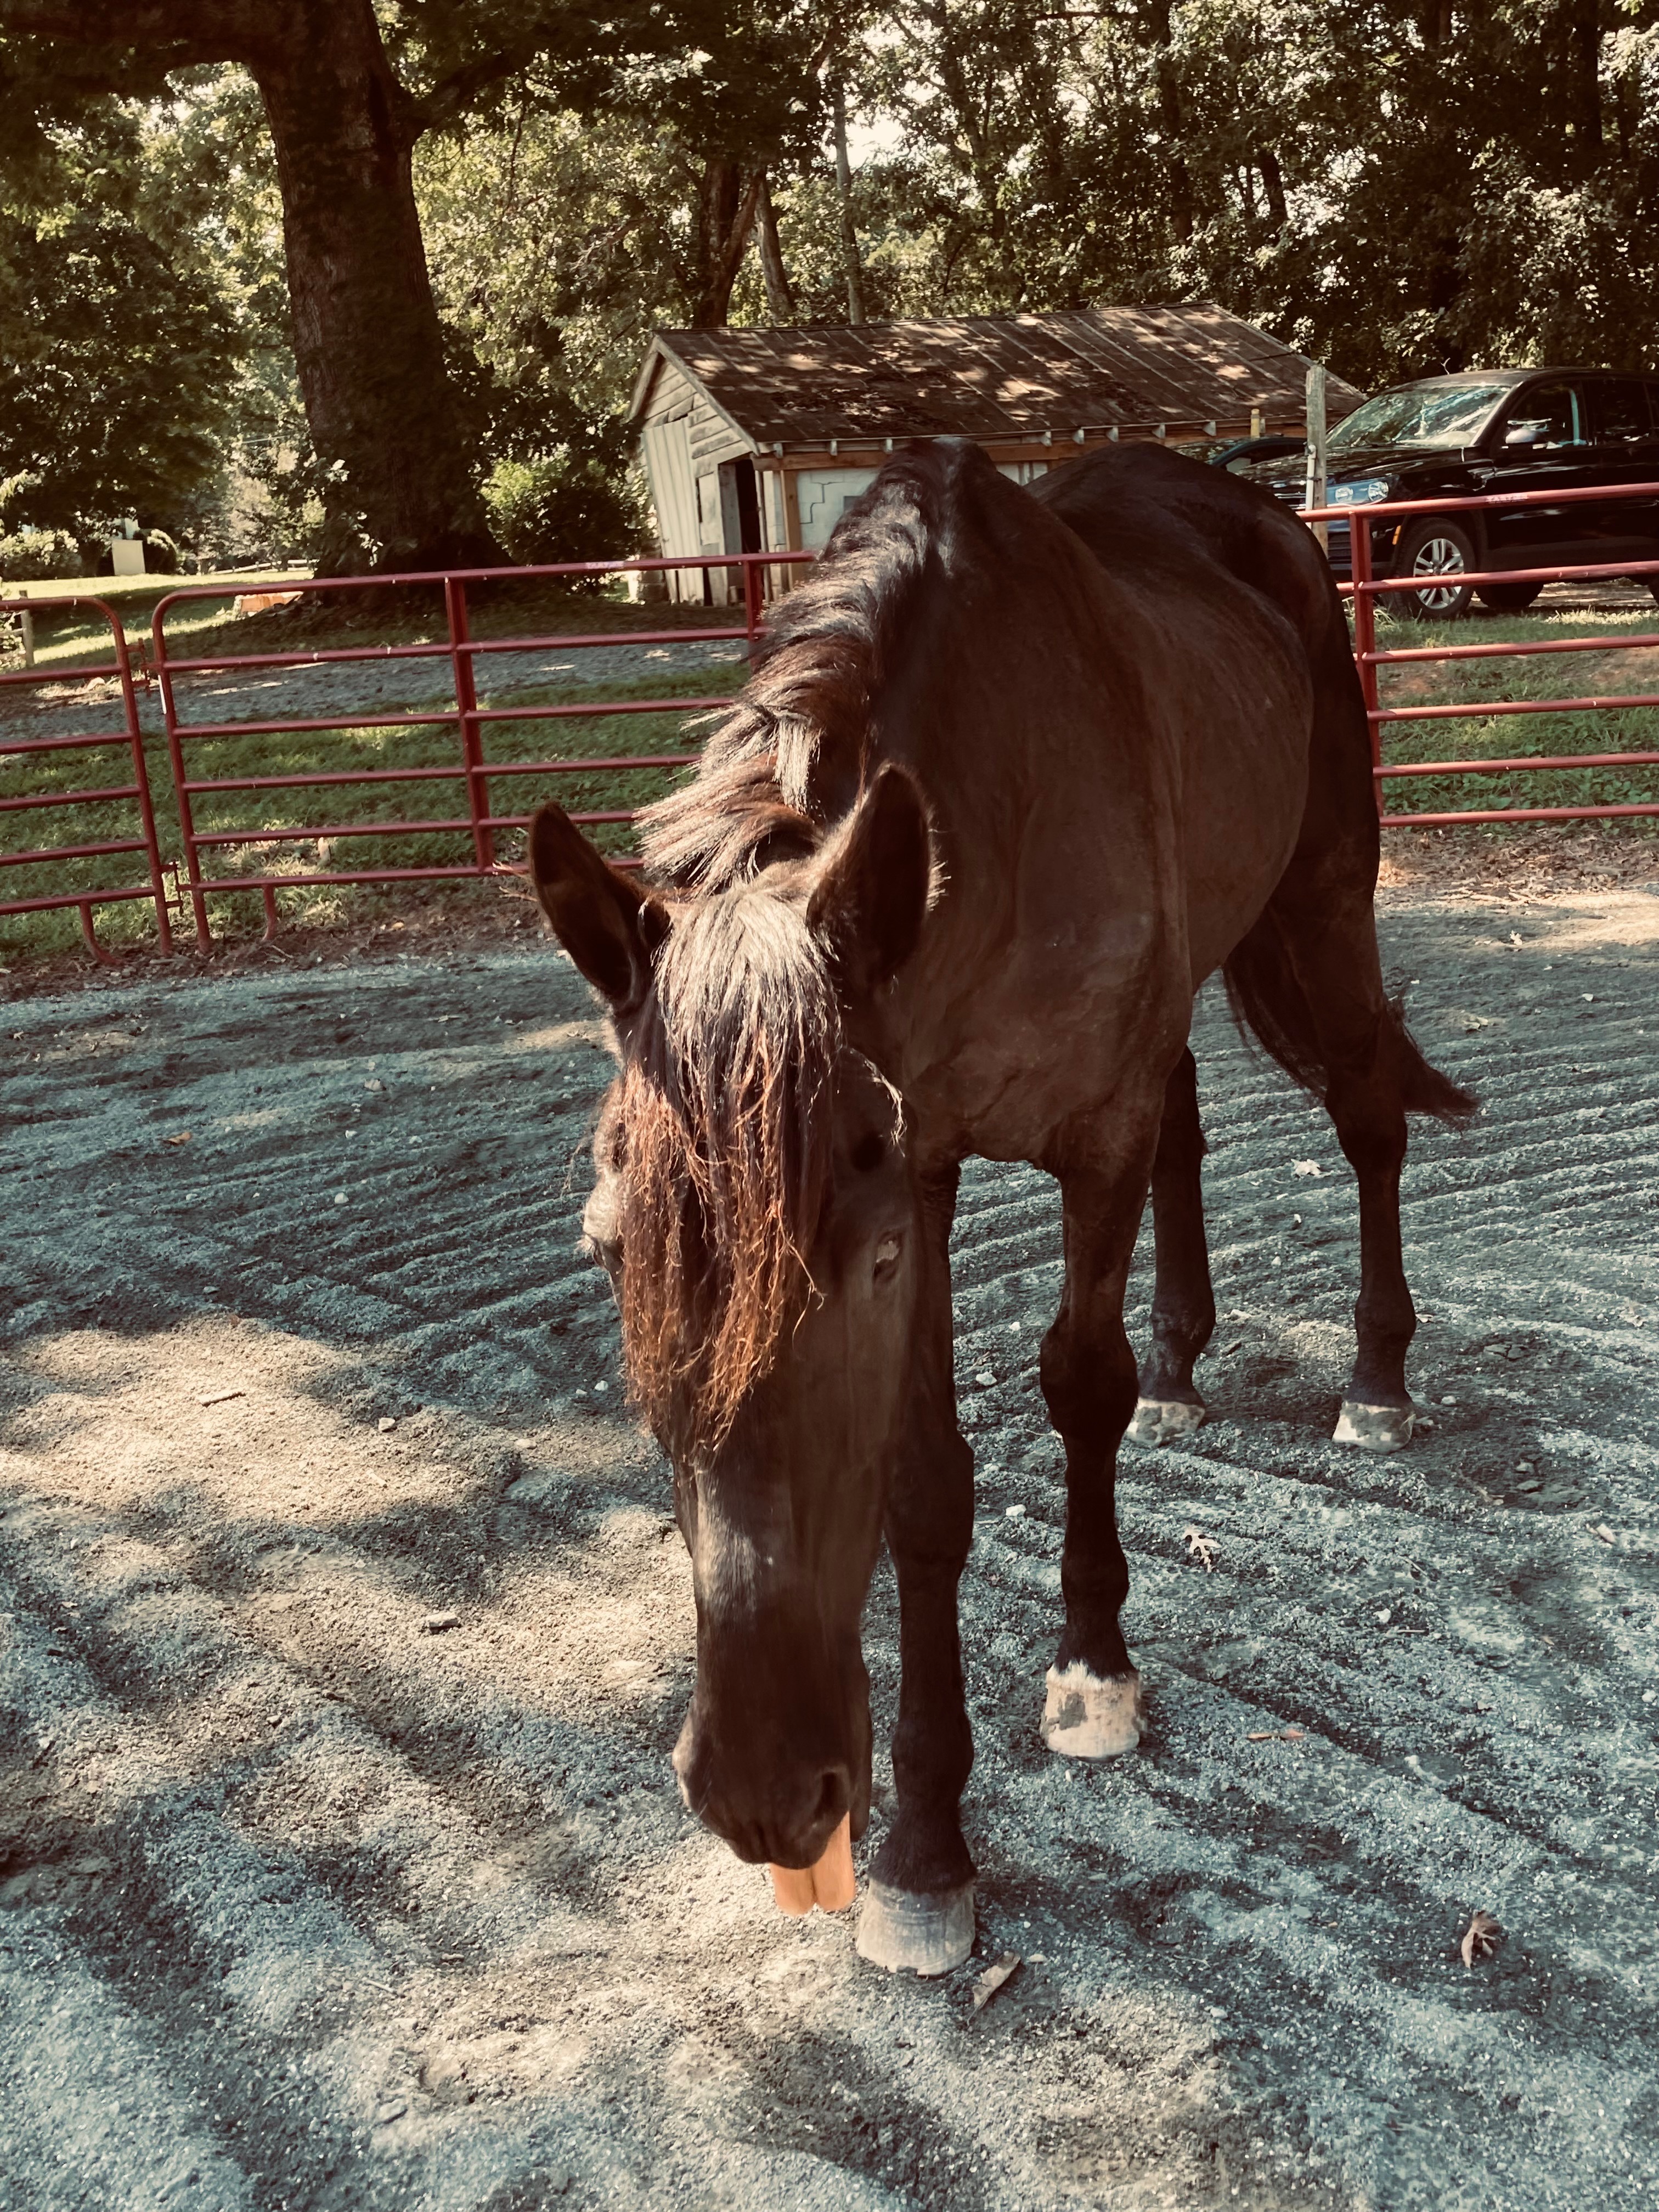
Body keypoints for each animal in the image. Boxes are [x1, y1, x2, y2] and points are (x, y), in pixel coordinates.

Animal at [526, 437, 1474, 1976]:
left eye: (868, 1266)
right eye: (608, 1253)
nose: (764, 1791)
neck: (1005, 804)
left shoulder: (1080, 1139)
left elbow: (1078, 1385)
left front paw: (1095, 1672)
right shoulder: (927, 1153)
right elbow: (924, 1486)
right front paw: (923, 1852)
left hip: (1328, 899)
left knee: (1367, 1116)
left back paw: (1377, 1379)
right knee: (1195, 1125)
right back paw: (1186, 1368)